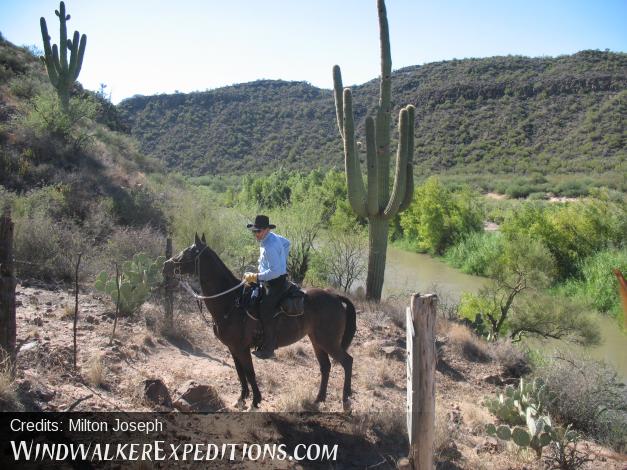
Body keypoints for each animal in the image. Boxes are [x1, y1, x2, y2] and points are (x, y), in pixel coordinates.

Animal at [163, 233, 358, 410]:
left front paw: (255, 401)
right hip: (317, 341)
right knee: (325, 367)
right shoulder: (233, 348)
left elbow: (250, 373)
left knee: (347, 362)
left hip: (329, 341)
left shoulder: (242, 348)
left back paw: (346, 401)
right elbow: (240, 373)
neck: (232, 302)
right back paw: (319, 399)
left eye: (188, 252)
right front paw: (241, 399)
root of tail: (334, 296)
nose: (166, 265)